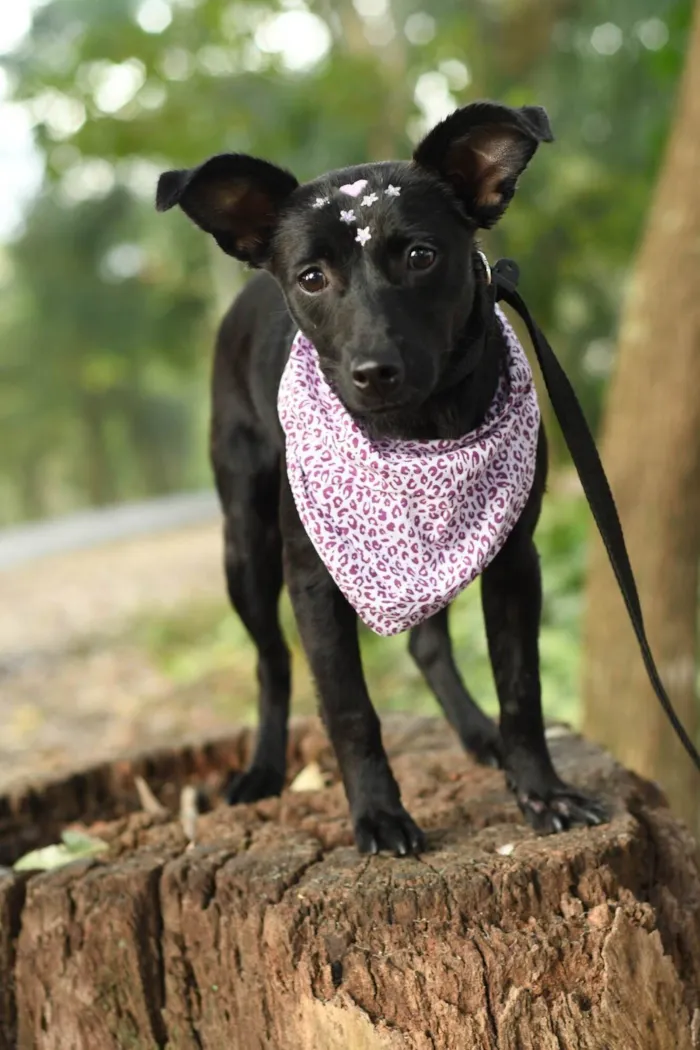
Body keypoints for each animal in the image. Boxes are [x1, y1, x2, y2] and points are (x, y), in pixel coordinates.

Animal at [156, 100, 604, 852]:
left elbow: (522, 689)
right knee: (272, 661)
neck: (417, 430)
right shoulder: (313, 579)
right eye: (311, 276)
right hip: (246, 544)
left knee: (426, 641)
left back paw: (477, 734)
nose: (374, 371)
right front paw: (378, 814)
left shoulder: (515, 560)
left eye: (421, 256)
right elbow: (349, 709)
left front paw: (541, 791)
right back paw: (262, 769)